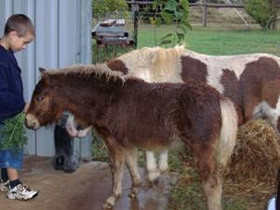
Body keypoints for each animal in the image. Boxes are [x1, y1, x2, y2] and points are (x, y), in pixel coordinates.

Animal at [25, 65, 237, 209]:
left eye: (40, 98)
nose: (28, 122)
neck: (107, 98)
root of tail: (219, 98)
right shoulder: (126, 141)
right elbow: (131, 164)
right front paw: (135, 189)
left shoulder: (113, 141)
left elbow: (116, 167)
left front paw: (112, 198)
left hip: (201, 150)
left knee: (212, 184)